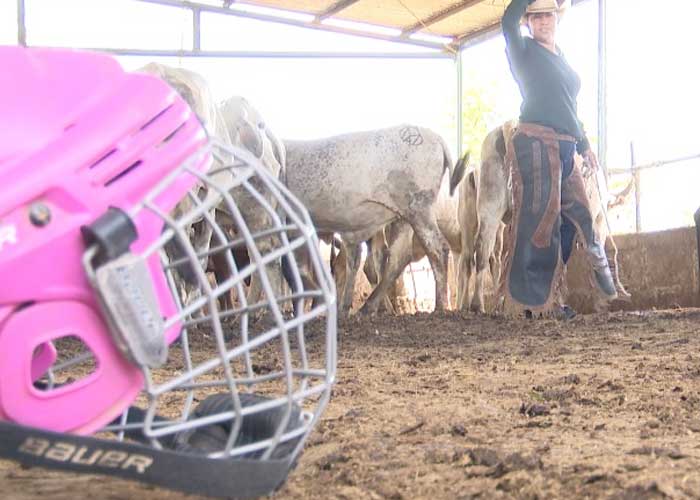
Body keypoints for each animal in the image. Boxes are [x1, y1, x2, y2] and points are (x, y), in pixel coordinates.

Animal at [282, 125, 468, 316]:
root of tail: (437, 138)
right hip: (402, 216)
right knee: (397, 257)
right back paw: (367, 306)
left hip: (419, 208)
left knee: (437, 249)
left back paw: (440, 306)